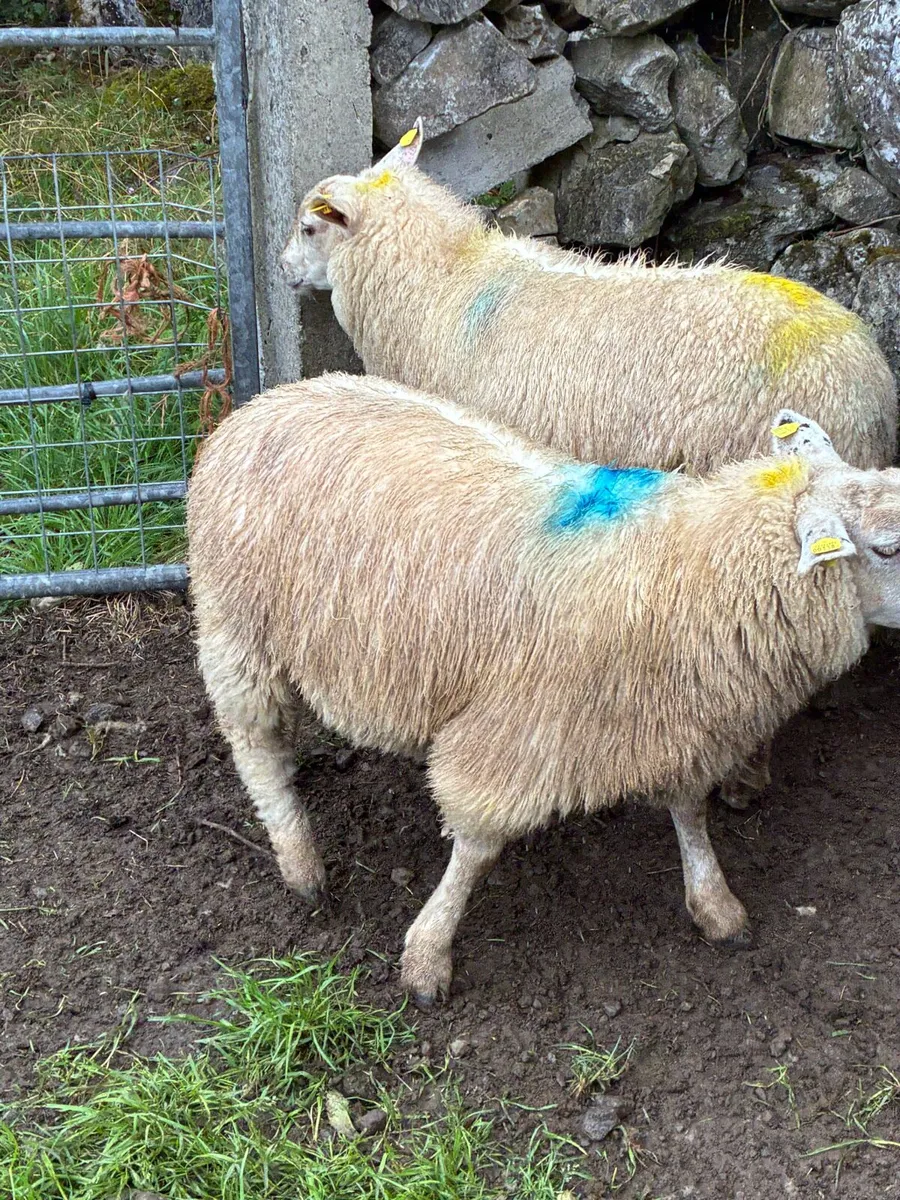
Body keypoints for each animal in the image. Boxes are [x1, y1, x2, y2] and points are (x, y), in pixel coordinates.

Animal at [187, 372, 900, 1004]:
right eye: (887, 549)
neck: (689, 568)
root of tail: (267, 402)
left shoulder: (675, 719)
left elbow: (690, 811)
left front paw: (715, 903)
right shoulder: (519, 734)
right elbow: (475, 848)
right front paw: (428, 954)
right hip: (235, 626)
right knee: (256, 744)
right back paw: (300, 862)